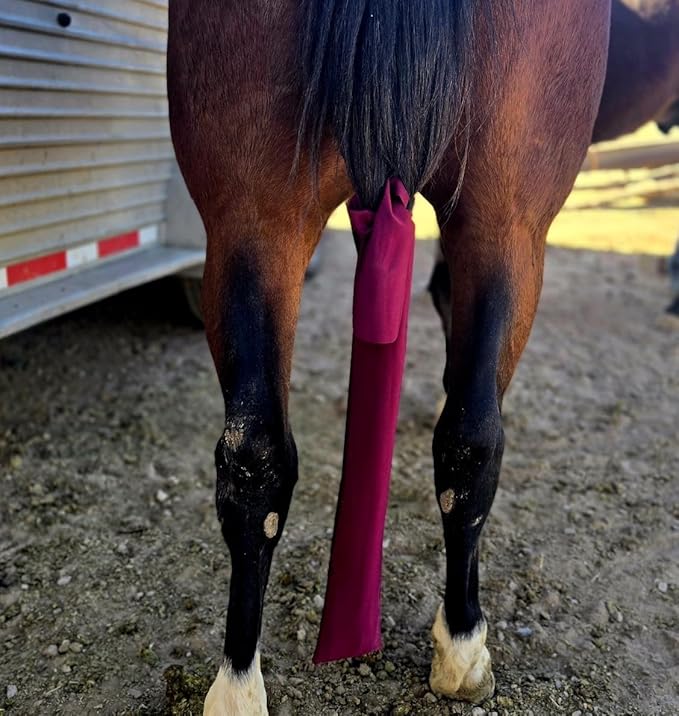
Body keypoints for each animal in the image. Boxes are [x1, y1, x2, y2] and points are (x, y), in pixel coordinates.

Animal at [167, 1, 611, 713]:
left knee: (257, 457)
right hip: (511, 218)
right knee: (471, 437)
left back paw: (237, 683)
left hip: (257, 215)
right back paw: (463, 640)